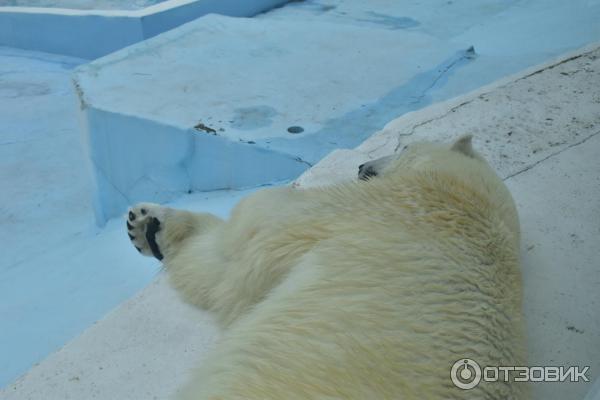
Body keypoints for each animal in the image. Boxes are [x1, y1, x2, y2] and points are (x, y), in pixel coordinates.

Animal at [125, 136, 524, 398]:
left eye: (402, 147)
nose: (362, 166)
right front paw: (145, 225)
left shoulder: (370, 207)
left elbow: (241, 252)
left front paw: (149, 224)